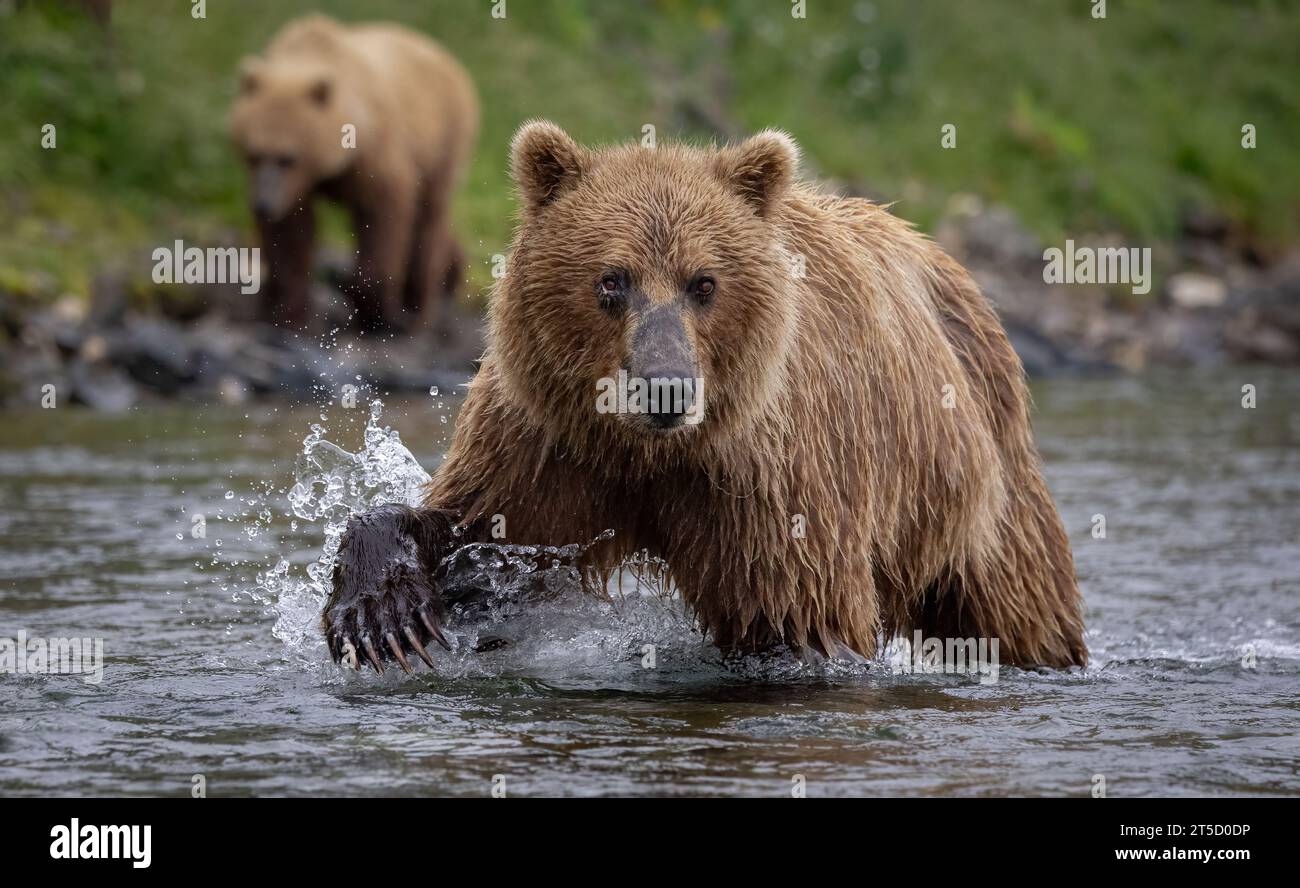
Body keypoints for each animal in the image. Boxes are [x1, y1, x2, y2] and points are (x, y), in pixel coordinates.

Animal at [228, 15, 478, 333]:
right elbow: (290, 234)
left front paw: (374, 312)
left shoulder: (373, 153)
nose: (262, 205)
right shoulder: (295, 188)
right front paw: (287, 314)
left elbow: (385, 213)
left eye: (288, 158)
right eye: (253, 154)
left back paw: (417, 307)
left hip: (443, 140)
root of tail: (443, 54)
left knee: (428, 214)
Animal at [321, 121, 1088, 674]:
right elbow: (478, 531)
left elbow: (795, 616)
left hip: (981, 490)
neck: (648, 453)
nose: (665, 388)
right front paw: (382, 612)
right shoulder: (549, 441)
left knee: (1018, 604)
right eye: (612, 280)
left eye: (704, 282)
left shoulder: (767, 476)